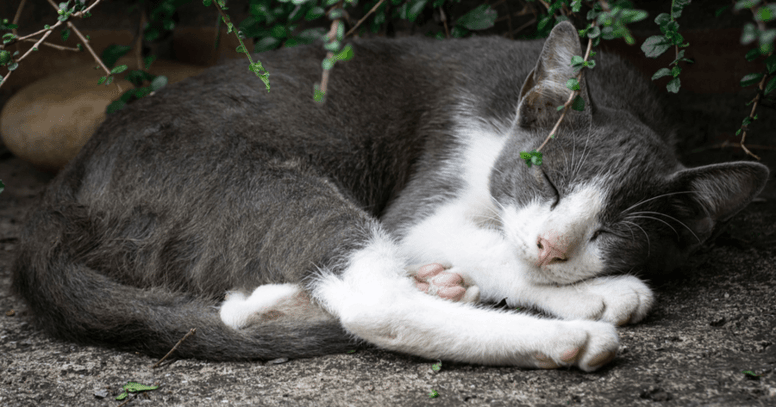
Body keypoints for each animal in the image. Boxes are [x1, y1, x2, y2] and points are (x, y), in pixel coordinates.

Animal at [12, 22, 768, 372]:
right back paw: (562, 337)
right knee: (375, 304)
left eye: (612, 228)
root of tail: (59, 196)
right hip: (253, 178)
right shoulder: (429, 193)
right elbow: (478, 240)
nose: (553, 246)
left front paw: (580, 280)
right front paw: (598, 294)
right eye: (549, 180)